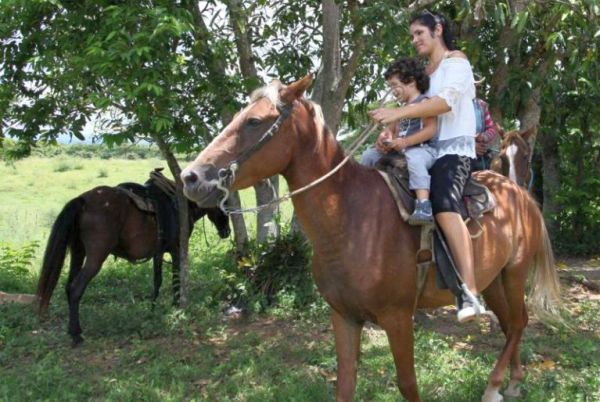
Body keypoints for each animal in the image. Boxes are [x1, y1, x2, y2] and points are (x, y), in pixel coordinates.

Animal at [35, 180, 230, 346]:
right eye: (224, 201)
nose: (227, 231)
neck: (180, 205)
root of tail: (83, 200)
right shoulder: (176, 249)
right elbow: (175, 279)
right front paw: (176, 307)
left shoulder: (159, 252)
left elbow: (157, 280)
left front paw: (153, 309)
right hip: (95, 258)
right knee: (76, 288)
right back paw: (76, 335)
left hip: (78, 252)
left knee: (69, 286)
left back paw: (73, 330)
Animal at [180, 76, 560, 402]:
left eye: (254, 122)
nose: (191, 177)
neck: (350, 219)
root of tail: (519, 193)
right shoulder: (344, 317)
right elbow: (346, 382)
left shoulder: (397, 318)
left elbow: (407, 384)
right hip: (492, 279)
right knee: (511, 324)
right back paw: (512, 382)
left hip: (514, 273)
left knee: (519, 322)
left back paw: (494, 385)